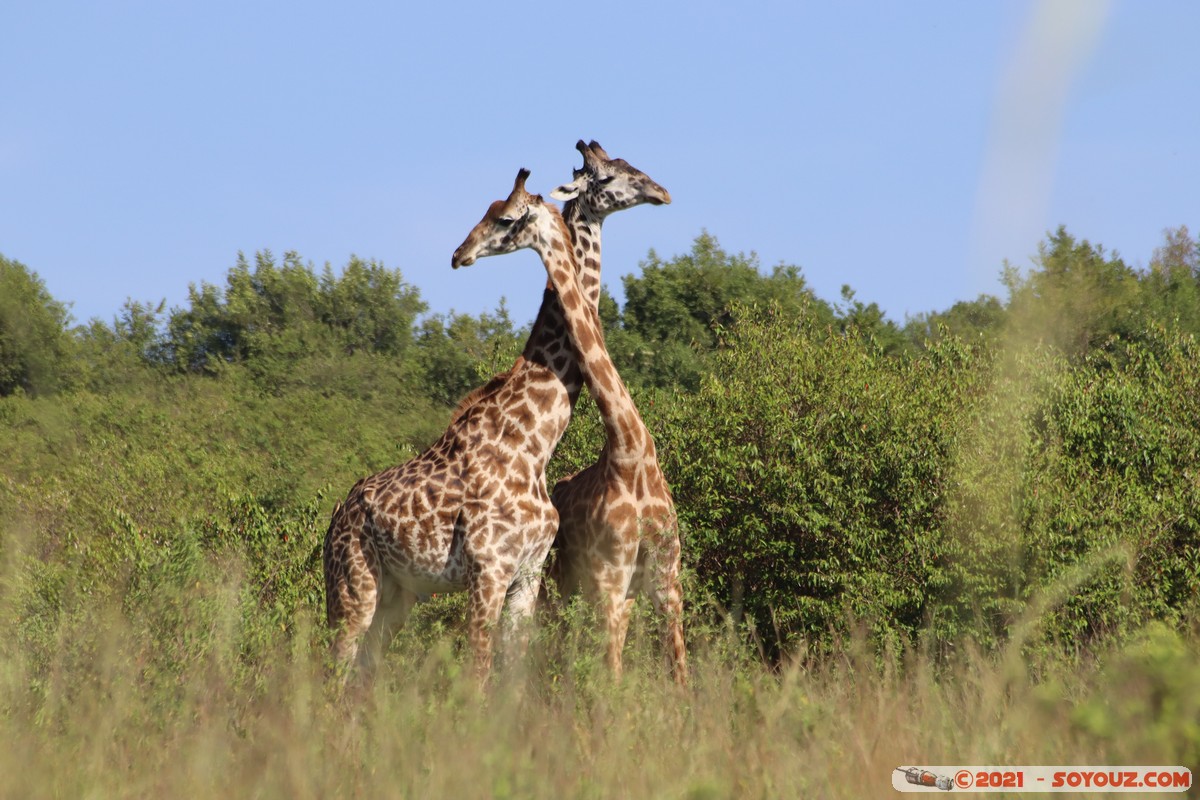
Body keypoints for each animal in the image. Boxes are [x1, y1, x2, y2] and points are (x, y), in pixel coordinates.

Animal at [452, 168, 688, 686]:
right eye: (610, 173)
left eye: (625, 166)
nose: (459, 254)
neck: (630, 453)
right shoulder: (608, 580)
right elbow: (612, 677)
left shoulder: (665, 578)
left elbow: (680, 674)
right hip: (565, 587)